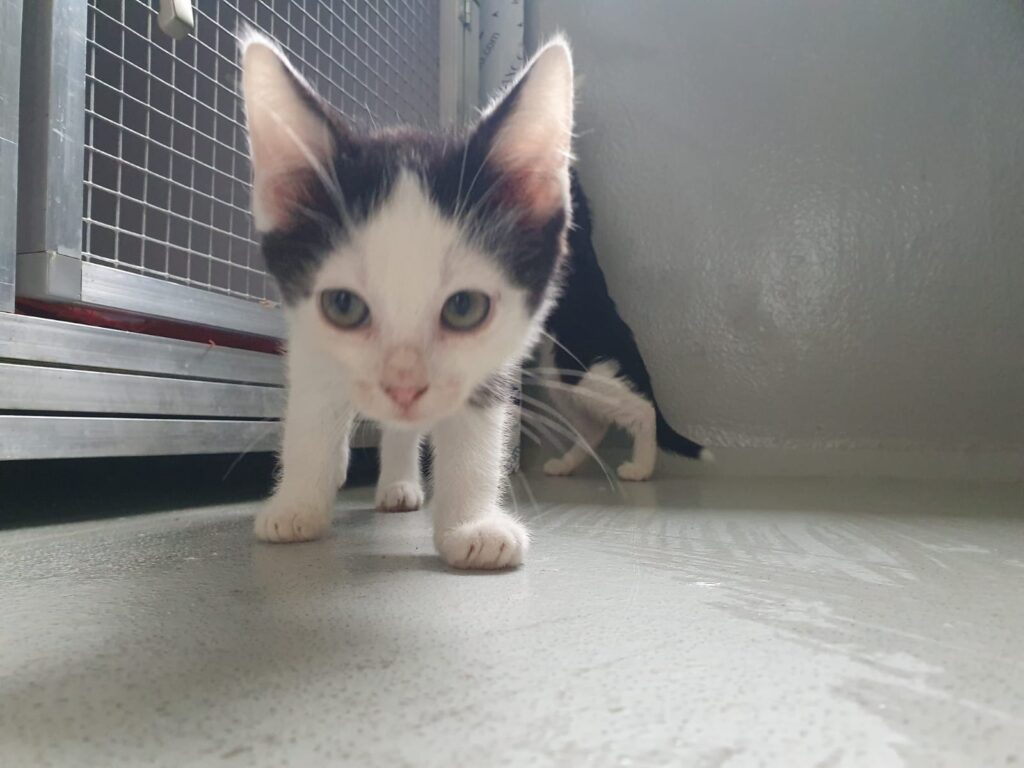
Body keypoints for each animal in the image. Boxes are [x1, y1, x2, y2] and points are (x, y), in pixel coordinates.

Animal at [239, 30, 574, 569]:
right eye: (343, 306)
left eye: (464, 308)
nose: (404, 388)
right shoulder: (309, 341)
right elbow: (314, 412)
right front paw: (298, 505)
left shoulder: (490, 364)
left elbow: (475, 427)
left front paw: (471, 526)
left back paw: (398, 482)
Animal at [536, 170, 712, 482]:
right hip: (561, 379)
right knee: (595, 428)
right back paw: (564, 465)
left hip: (591, 374)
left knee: (643, 411)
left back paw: (640, 469)